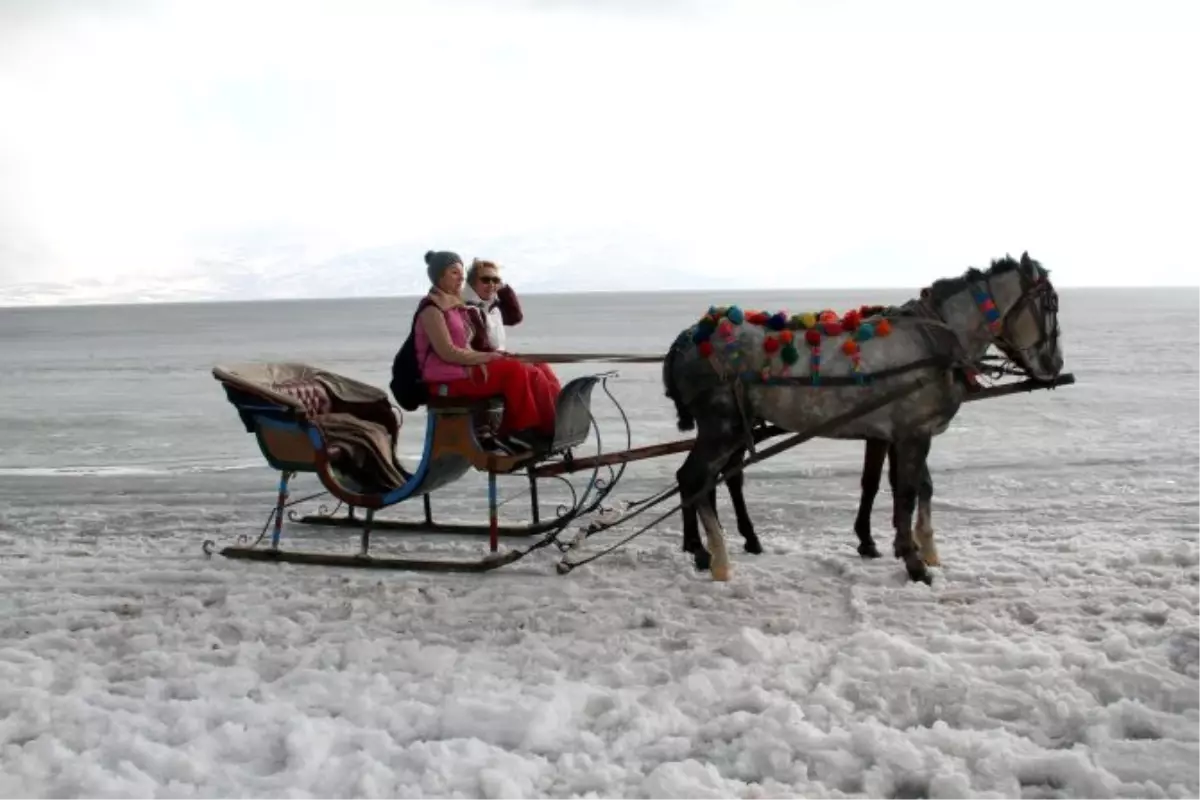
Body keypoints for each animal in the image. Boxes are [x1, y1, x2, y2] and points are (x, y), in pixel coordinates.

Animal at [662, 253, 1065, 585]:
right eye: (1051, 303)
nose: (1055, 364)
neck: (932, 342)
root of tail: (687, 338)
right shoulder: (913, 433)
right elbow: (905, 493)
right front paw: (913, 562)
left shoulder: (903, 430)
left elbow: (917, 487)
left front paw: (925, 551)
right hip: (722, 427)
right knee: (696, 479)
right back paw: (718, 559)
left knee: (704, 480)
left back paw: (706, 549)